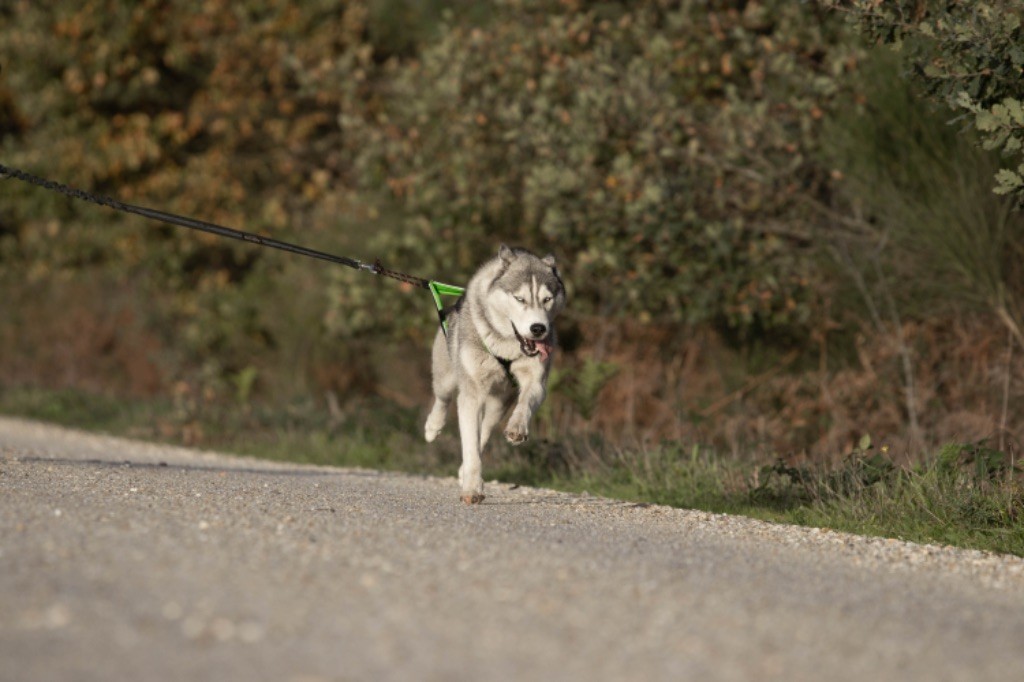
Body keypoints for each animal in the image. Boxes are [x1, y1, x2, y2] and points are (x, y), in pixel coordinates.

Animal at [423, 242, 569, 499]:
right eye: (520, 298)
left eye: (547, 299)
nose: (538, 328)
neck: (506, 346)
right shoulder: (471, 393)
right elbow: (469, 444)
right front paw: (472, 487)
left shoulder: (537, 381)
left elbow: (526, 402)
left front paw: (517, 427)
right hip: (447, 377)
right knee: (442, 400)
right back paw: (433, 427)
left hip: (498, 405)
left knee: (485, 431)